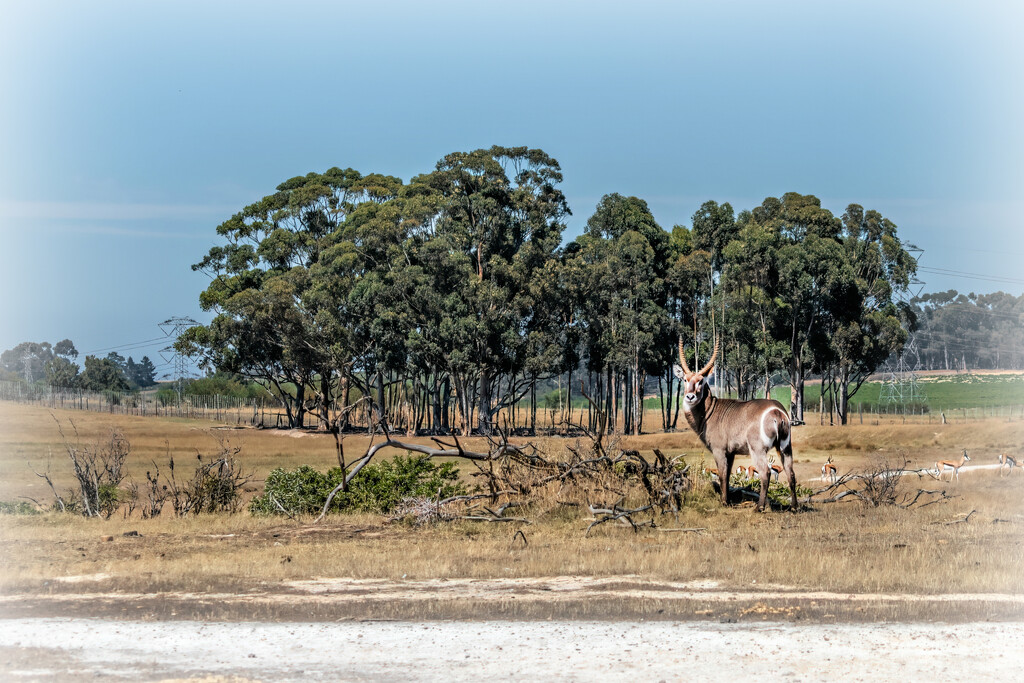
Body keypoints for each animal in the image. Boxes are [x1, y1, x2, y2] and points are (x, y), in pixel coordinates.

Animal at [671, 335, 798, 511]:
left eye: (701, 381)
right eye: (685, 379)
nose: (690, 397)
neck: (709, 411)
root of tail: (777, 411)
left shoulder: (719, 450)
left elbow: (722, 475)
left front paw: (724, 502)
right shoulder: (730, 453)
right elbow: (728, 475)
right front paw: (728, 500)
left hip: (757, 449)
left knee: (765, 472)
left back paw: (759, 507)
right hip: (785, 447)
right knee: (791, 473)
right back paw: (794, 507)